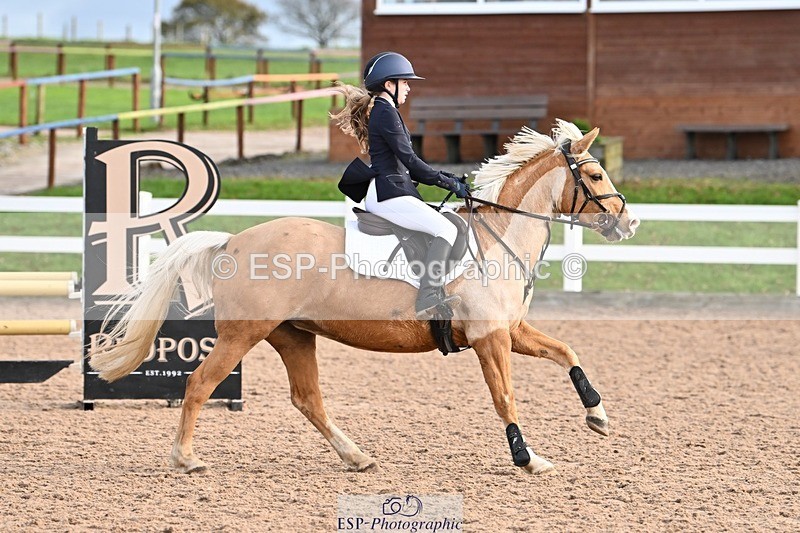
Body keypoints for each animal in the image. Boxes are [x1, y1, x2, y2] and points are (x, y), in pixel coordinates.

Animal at [89, 120, 639, 475]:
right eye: (594, 175)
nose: (629, 222)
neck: (496, 238)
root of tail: (232, 241)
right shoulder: (490, 338)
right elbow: (505, 396)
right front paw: (528, 459)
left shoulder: (511, 330)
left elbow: (567, 352)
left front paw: (597, 416)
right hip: (243, 335)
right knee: (201, 383)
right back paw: (185, 458)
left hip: (293, 336)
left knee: (307, 398)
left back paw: (356, 457)